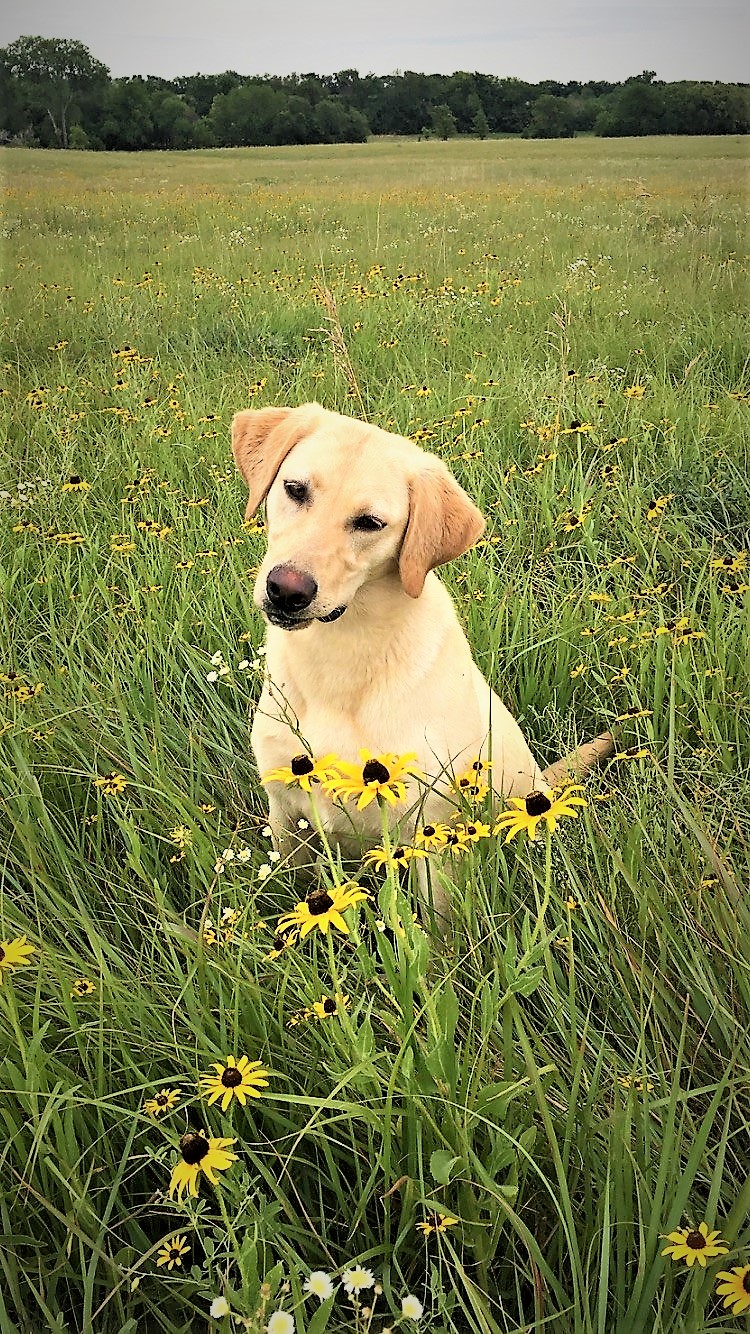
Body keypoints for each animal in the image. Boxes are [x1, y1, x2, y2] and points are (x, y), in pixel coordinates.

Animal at [230, 402, 611, 885]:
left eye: (370, 523)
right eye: (294, 489)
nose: (286, 590)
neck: (341, 653)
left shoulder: (429, 838)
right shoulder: (285, 817)